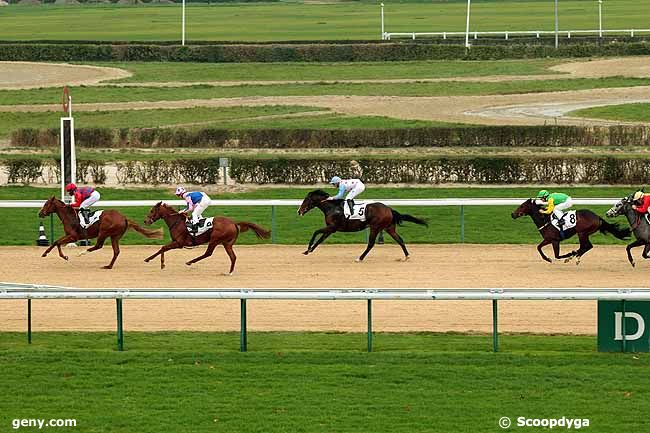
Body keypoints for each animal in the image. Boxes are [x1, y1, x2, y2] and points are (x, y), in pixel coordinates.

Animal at [294, 191, 426, 262]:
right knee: (400, 240)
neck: (332, 208)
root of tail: (389, 209)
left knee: (371, 244)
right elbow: (320, 240)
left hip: (375, 227)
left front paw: (308, 248)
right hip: (389, 228)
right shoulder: (331, 229)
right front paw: (308, 250)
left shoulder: (333, 227)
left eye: (306, 200)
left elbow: (316, 232)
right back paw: (407, 256)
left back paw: (360, 258)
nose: (299, 211)